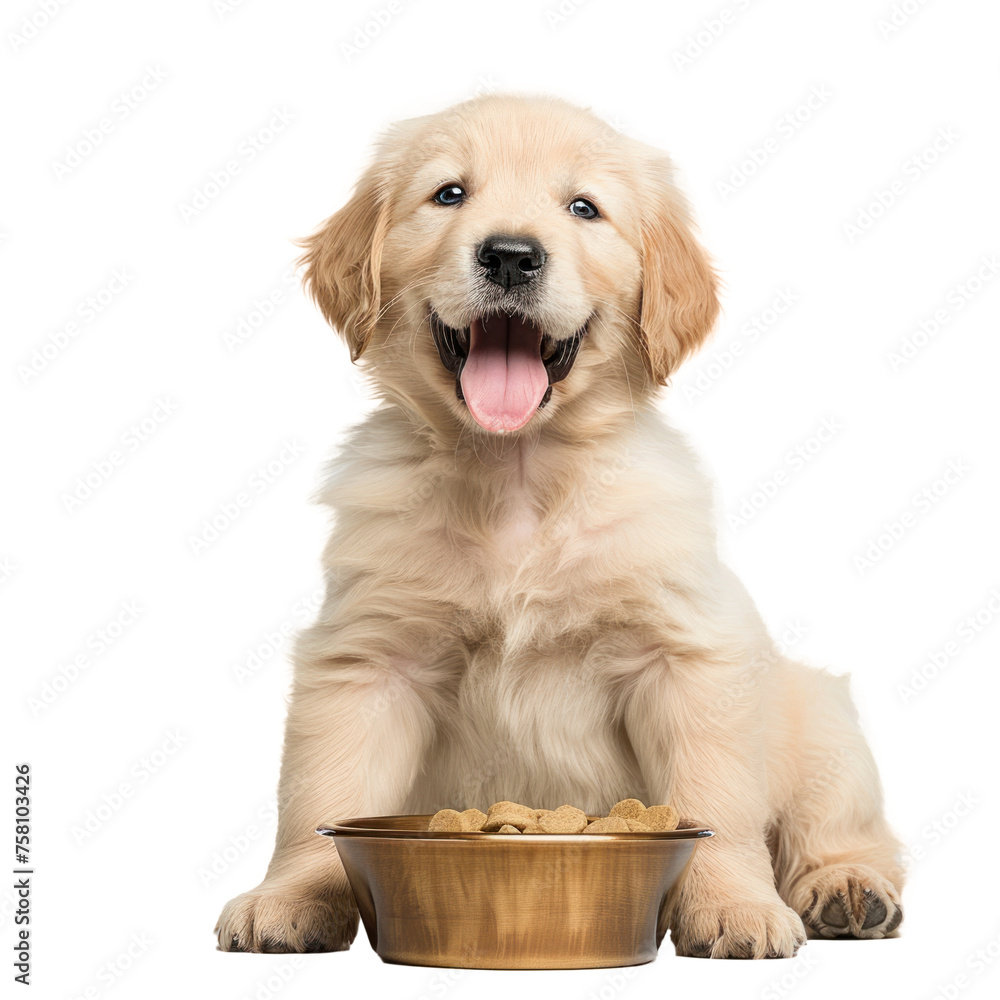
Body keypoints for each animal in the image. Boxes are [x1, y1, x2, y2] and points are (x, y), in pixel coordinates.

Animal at [217, 95, 908, 960]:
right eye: (449, 194)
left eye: (584, 208)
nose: (512, 256)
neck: (518, 475)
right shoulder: (369, 658)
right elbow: (322, 790)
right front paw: (295, 894)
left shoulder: (685, 657)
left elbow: (718, 801)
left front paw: (733, 904)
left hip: (821, 725)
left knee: (845, 830)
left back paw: (846, 888)